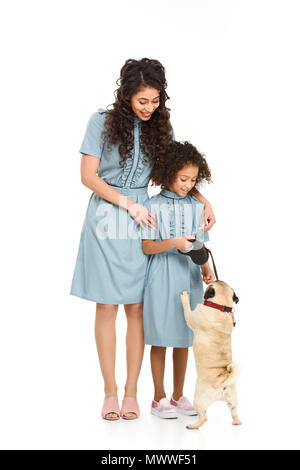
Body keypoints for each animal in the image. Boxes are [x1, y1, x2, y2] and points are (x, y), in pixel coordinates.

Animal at [179, 280, 240, 430]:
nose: (211, 279)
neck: (221, 307)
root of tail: (223, 383)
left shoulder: (191, 317)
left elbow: (186, 309)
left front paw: (185, 297)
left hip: (198, 400)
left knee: (204, 417)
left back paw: (193, 426)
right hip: (233, 401)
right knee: (234, 412)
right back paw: (236, 422)